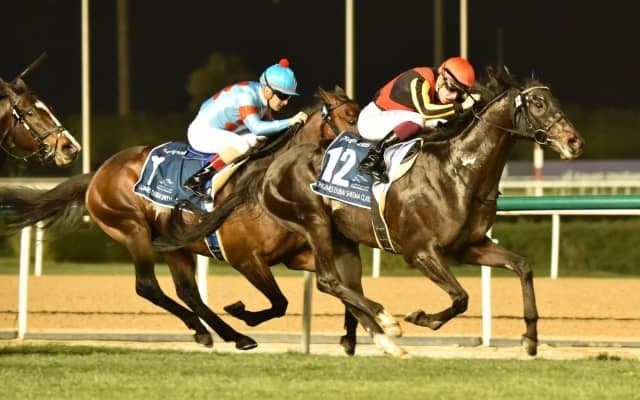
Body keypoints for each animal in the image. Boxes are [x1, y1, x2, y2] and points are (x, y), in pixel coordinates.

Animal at [0, 86, 361, 351]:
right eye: (349, 116)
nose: (369, 146)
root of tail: (97, 174)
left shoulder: (297, 256)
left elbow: (339, 286)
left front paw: (352, 335)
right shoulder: (246, 258)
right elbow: (280, 303)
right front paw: (242, 312)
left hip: (176, 245)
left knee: (189, 292)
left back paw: (223, 334)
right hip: (134, 231)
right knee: (148, 286)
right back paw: (222, 333)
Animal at [154, 67, 585, 357]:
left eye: (555, 100)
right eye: (538, 102)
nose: (574, 142)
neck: (458, 171)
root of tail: (275, 164)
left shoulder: (471, 247)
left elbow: (523, 267)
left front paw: (530, 339)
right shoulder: (420, 251)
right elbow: (461, 297)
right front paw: (420, 318)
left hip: (342, 240)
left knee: (342, 284)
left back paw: (378, 334)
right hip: (314, 222)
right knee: (329, 280)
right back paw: (386, 323)